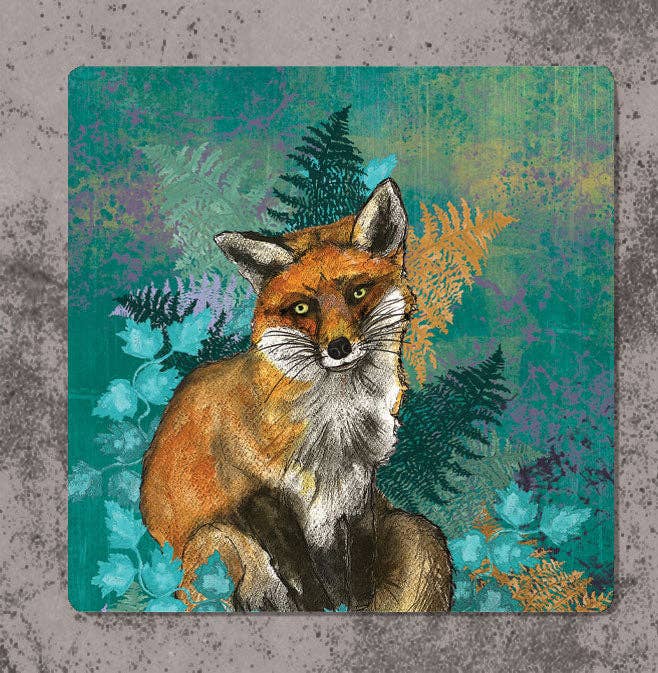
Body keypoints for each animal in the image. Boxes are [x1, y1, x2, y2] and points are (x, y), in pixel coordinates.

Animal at [140, 178, 453, 612]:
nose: (338, 348)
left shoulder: (357, 493)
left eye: (358, 293)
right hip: (216, 542)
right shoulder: (255, 495)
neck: (335, 428)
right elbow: (304, 577)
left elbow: (358, 576)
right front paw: (323, 608)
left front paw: (354, 609)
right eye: (303, 308)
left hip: (417, 531)